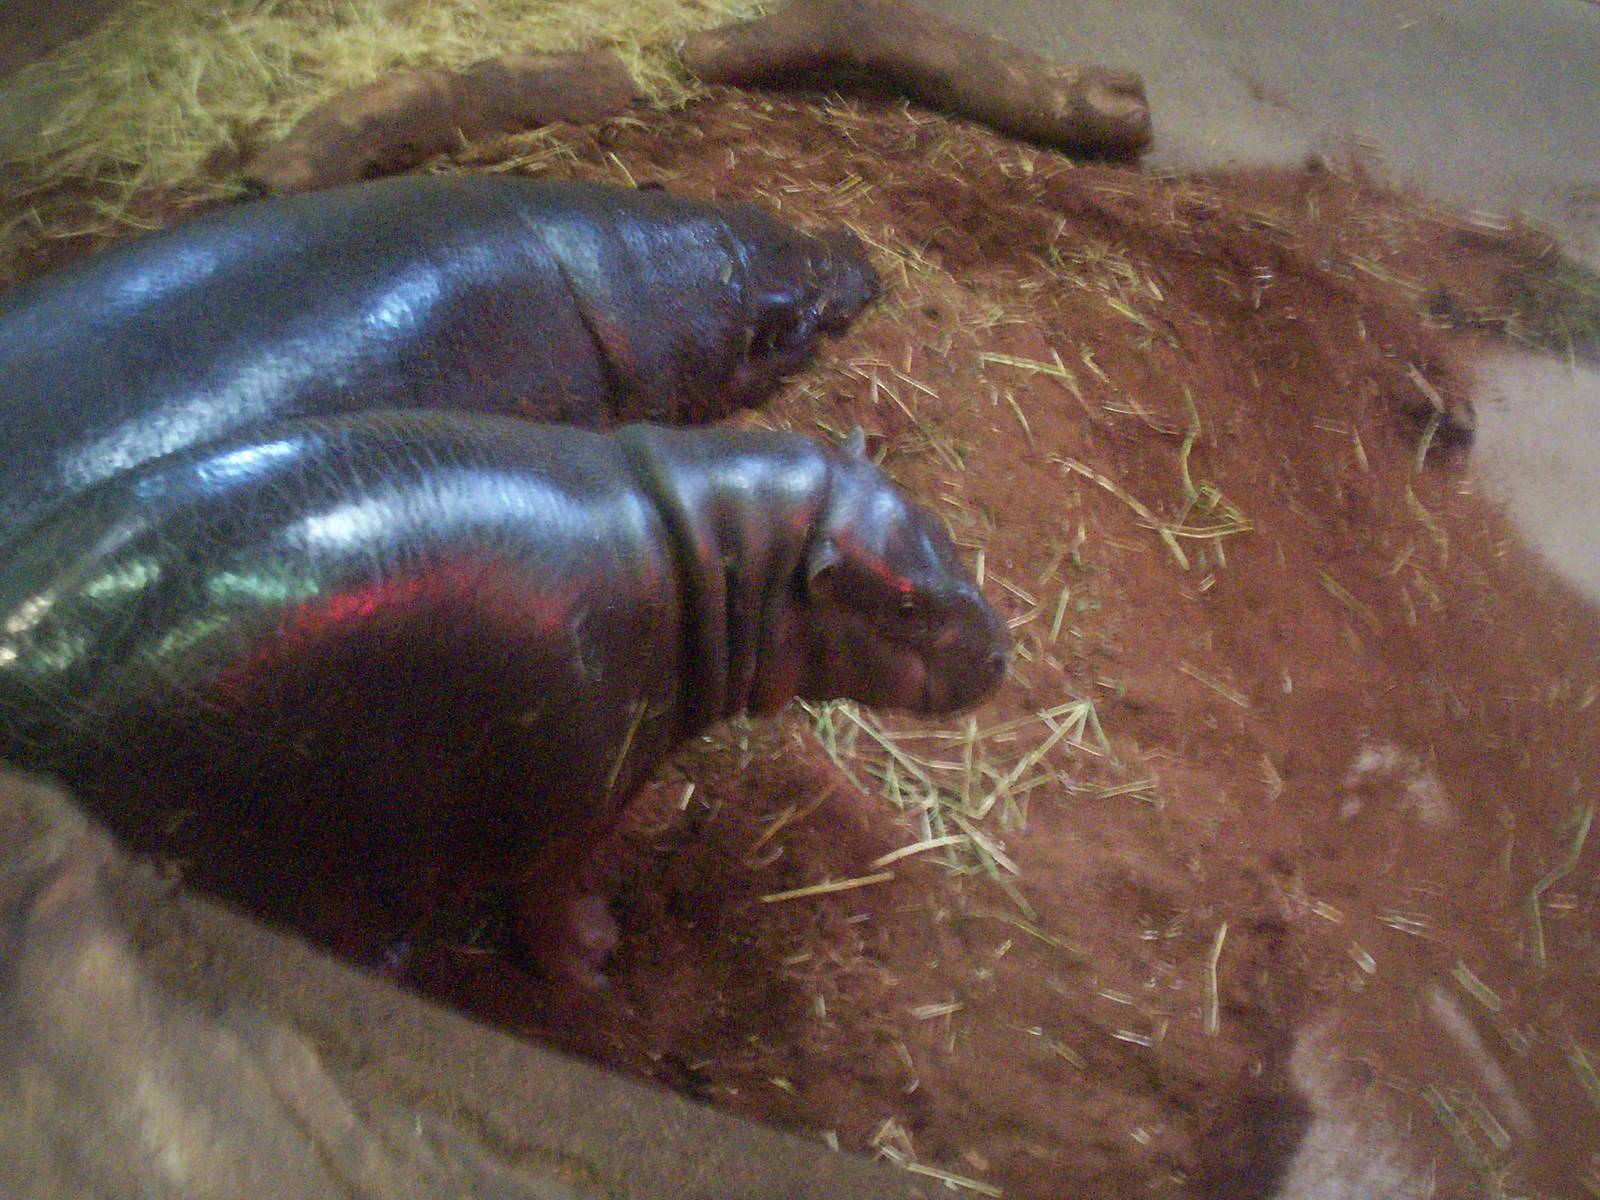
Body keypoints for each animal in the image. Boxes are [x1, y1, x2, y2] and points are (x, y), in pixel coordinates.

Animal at [0, 414, 1009, 984]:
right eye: (906, 605)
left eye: (937, 524)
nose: (1004, 650)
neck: (724, 550)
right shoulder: (581, 806)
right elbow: (551, 898)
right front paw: (595, 958)